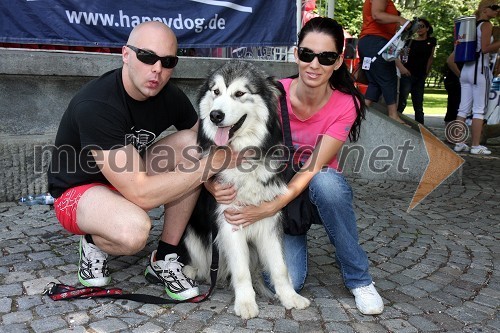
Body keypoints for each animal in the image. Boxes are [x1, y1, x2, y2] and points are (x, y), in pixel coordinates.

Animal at [182, 61, 310, 318]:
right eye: (216, 92)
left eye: (240, 93)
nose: (215, 115)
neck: (242, 156)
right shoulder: (229, 223)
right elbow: (241, 271)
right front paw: (245, 303)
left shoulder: (269, 221)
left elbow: (280, 267)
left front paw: (290, 297)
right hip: (192, 233)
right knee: (205, 266)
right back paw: (193, 271)